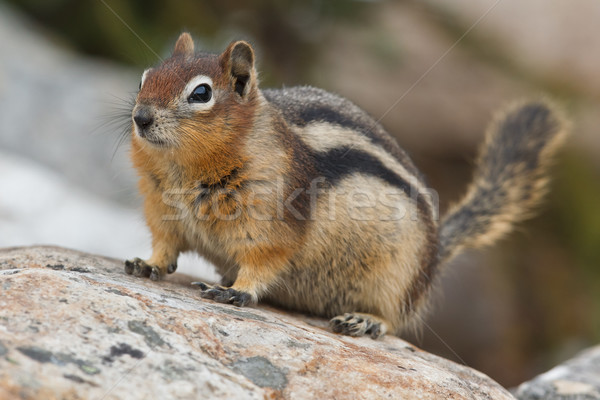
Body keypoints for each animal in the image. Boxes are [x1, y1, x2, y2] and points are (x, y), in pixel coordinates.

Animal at [123, 32, 568, 338]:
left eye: (201, 93)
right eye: (145, 77)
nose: (141, 117)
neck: (184, 170)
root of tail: (436, 252)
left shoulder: (271, 221)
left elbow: (263, 260)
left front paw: (239, 291)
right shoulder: (163, 212)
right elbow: (166, 246)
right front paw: (147, 263)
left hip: (395, 277)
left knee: (395, 318)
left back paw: (364, 319)